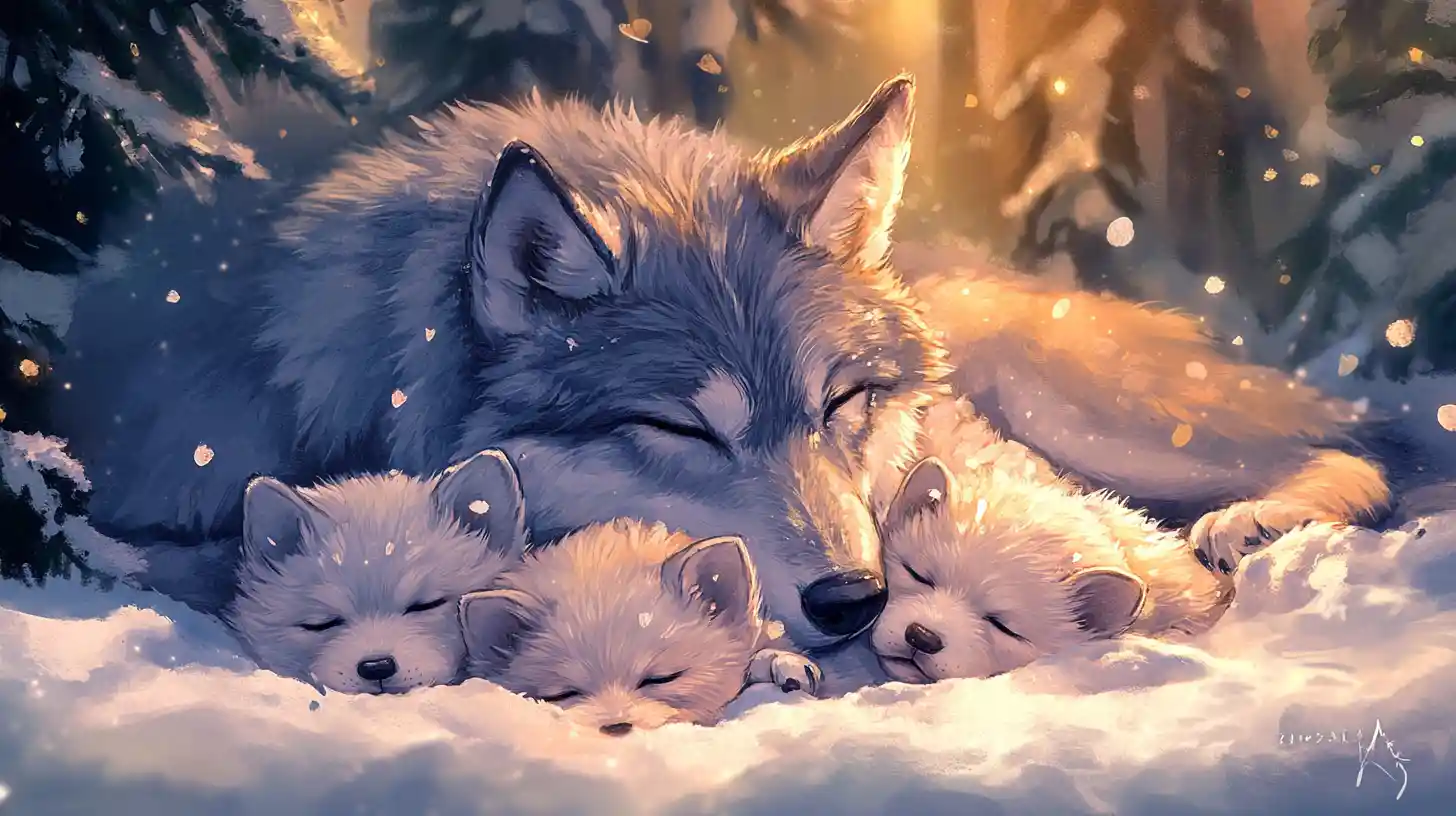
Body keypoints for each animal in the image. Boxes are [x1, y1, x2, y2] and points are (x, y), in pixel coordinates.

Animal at [55, 72, 1388, 653]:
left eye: (842, 400)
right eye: (684, 429)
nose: (853, 604)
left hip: (1075, 404)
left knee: (1358, 447)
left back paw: (1253, 522)